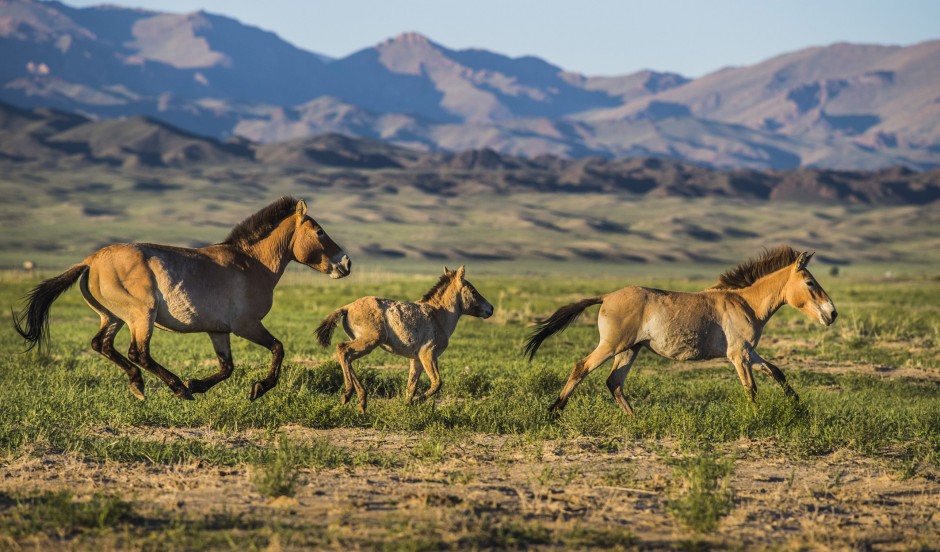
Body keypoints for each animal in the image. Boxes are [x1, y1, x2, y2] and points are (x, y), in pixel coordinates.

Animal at [13, 197, 352, 402]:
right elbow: (278, 349)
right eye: (320, 233)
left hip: (113, 317)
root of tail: (90, 261)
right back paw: (174, 387)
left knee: (102, 345)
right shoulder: (246, 325)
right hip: (141, 316)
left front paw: (197, 384)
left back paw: (140, 385)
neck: (252, 263)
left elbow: (227, 367)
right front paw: (258, 388)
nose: (346, 263)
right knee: (138, 352)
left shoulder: (219, 330)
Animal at [524, 248, 840, 416]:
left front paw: (799, 409)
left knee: (614, 382)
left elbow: (777, 372)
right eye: (810, 283)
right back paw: (554, 411)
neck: (745, 303)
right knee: (581, 368)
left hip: (630, 350)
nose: (832, 313)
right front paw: (756, 417)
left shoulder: (749, 353)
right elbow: (751, 388)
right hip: (612, 346)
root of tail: (606, 296)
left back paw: (635, 420)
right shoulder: (738, 355)